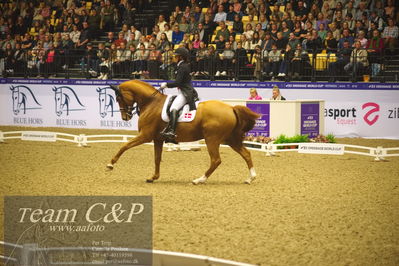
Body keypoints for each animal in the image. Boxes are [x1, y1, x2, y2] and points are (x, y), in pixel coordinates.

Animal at [108, 80, 260, 184]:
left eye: (118, 98)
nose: (125, 117)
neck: (151, 103)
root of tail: (231, 108)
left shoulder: (145, 136)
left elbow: (125, 146)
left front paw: (111, 164)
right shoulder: (157, 139)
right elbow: (157, 158)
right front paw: (153, 177)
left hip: (212, 139)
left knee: (216, 160)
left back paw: (199, 180)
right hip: (230, 139)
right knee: (246, 154)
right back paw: (250, 178)